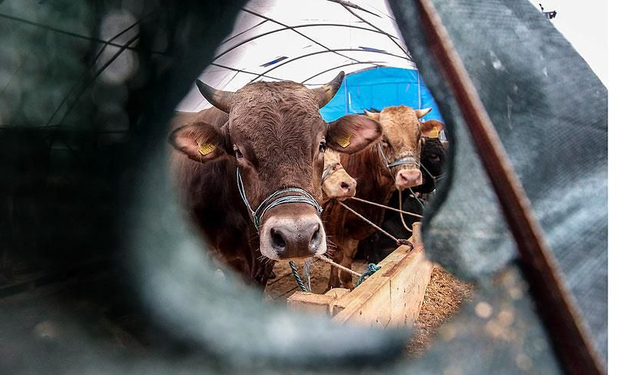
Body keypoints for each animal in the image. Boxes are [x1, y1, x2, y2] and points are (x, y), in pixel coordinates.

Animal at [322, 106, 442, 290]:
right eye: (384, 140)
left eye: (419, 138)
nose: (410, 177)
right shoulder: (337, 228)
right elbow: (339, 260)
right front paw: (335, 286)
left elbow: (345, 260)